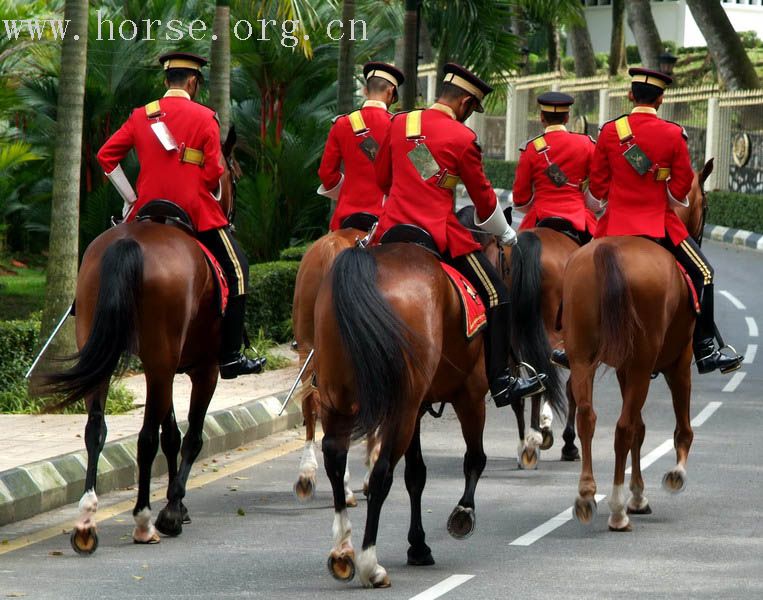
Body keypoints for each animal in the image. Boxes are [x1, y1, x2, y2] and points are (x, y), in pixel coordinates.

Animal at [41, 125, 242, 552]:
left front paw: (177, 505)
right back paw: (145, 520)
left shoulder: (166, 363)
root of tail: (128, 241)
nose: (230, 220)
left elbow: (173, 434)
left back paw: (87, 520)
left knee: (96, 428)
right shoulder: (204, 369)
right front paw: (173, 509)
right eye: (233, 173)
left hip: (112, 351)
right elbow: (190, 436)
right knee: (146, 438)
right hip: (162, 361)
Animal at [314, 243, 492, 584]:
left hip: (338, 398)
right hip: (402, 410)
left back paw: (342, 551)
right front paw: (463, 512)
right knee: (381, 473)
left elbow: (416, 475)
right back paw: (370, 563)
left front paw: (418, 545)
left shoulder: (419, 407)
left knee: (334, 455)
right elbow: (474, 457)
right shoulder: (470, 392)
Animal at [560, 158, 716, 528]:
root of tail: (607, 250)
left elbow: (642, 430)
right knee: (623, 427)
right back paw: (616, 510)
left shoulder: (623, 368)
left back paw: (586, 495)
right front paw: (674, 476)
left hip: (583, 358)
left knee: (588, 417)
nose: (698, 235)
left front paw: (638, 495)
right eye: (704, 203)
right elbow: (680, 428)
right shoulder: (677, 363)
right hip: (645, 362)